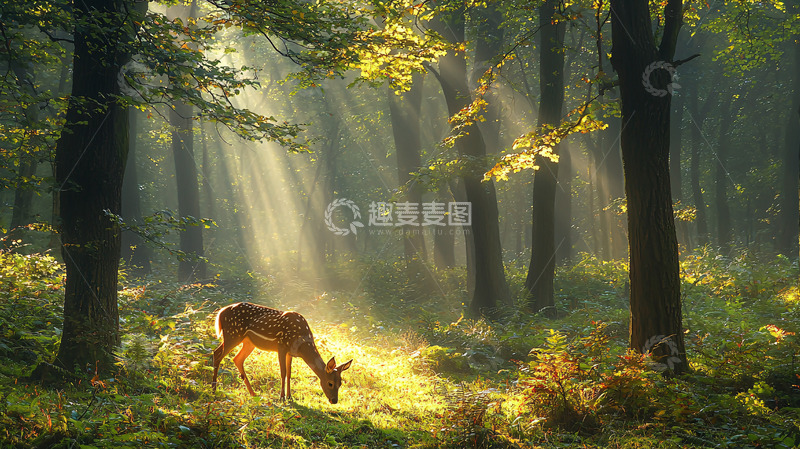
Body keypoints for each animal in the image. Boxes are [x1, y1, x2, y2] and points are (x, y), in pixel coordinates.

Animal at [211, 302, 352, 404]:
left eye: (340, 383)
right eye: (330, 383)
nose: (334, 401)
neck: (301, 344)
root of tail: (221, 312)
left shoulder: (290, 353)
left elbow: (289, 373)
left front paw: (290, 397)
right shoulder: (281, 346)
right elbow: (283, 373)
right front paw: (282, 397)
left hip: (248, 342)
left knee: (237, 359)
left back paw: (253, 393)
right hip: (233, 334)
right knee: (217, 354)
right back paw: (213, 389)